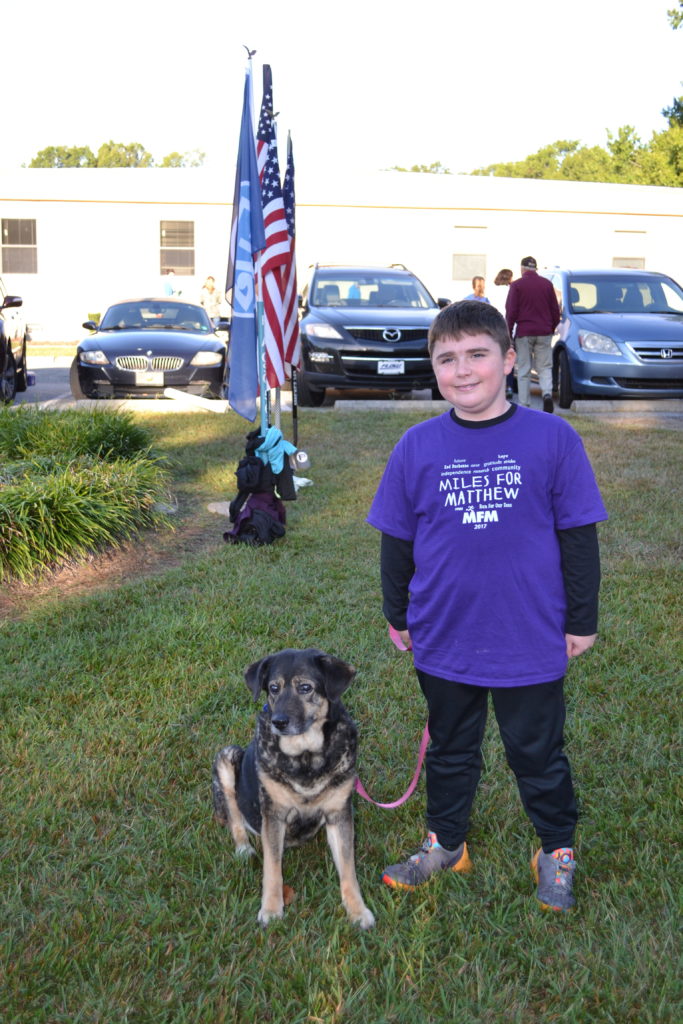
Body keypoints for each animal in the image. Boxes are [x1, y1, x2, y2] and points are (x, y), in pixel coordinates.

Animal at [212, 647, 375, 929]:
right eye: (273, 688)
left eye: (305, 688)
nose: (279, 722)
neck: (305, 756)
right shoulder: (274, 815)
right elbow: (272, 870)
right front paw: (271, 909)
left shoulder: (339, 814)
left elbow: (348, 868)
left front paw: (357, 911)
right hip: (227, 758)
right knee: (235, 818)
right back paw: (243, 849)